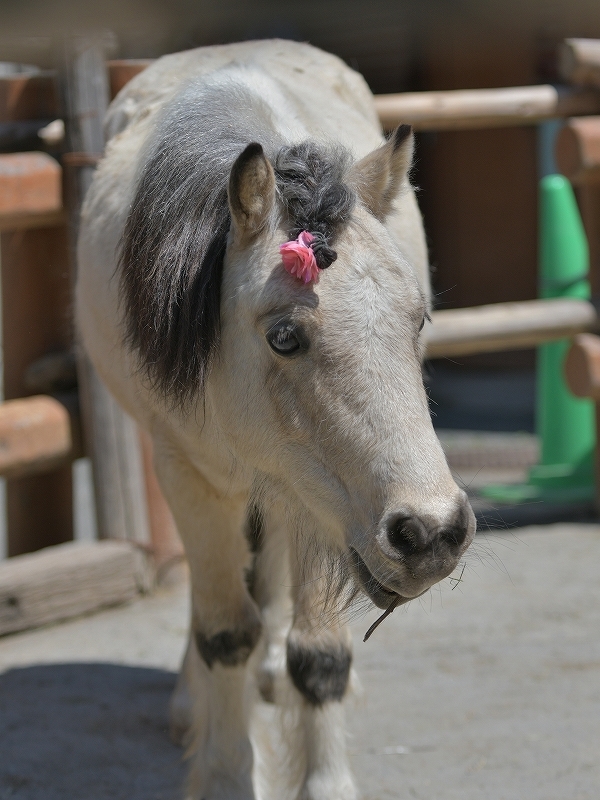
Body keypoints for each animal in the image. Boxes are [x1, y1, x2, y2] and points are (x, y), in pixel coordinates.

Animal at [77, 39, 476, 800]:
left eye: (418, 321)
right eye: (284, 337)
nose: (431, 532)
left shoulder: (314, 497)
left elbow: (317, 653)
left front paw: (325, 780)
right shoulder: (191, 474)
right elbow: (224, 632)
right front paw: (227, 772)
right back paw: (193, 699)